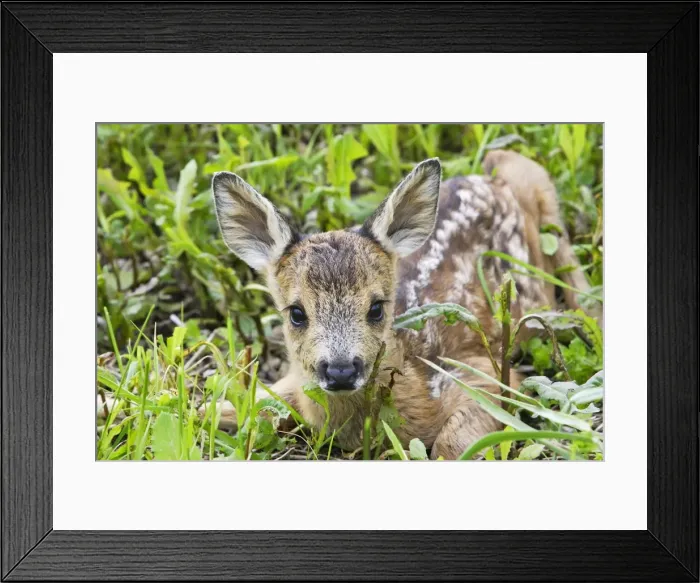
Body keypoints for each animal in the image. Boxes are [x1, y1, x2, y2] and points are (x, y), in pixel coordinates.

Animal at [210, 149, 590, 459]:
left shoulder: (479, 371)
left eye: (376, 307)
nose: (341, 370)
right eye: (297, 313)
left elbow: (450, 446)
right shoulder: (289, 383)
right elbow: (227, 406)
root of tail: (490, 178)